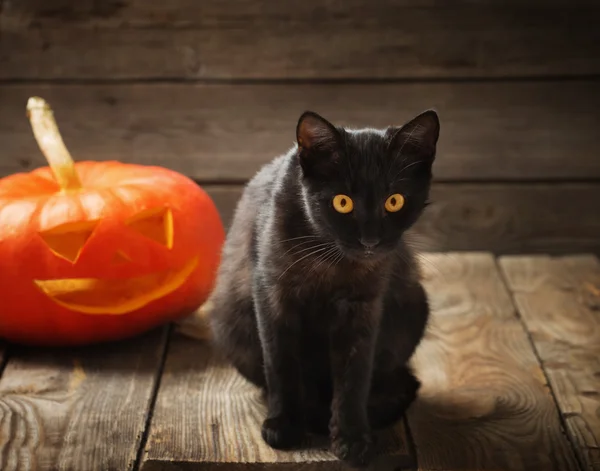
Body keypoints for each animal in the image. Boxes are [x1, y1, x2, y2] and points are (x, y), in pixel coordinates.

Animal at [209, 109, 438, 468]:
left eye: (394, 201)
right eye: (342, 202)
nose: (370, 240)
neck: (332, 262)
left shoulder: (363, 307)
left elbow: (354, 376)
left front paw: (352, 438)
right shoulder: (273, 296)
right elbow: (281, 364)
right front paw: (285, 425)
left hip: (413, 305)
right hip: (229, 321)